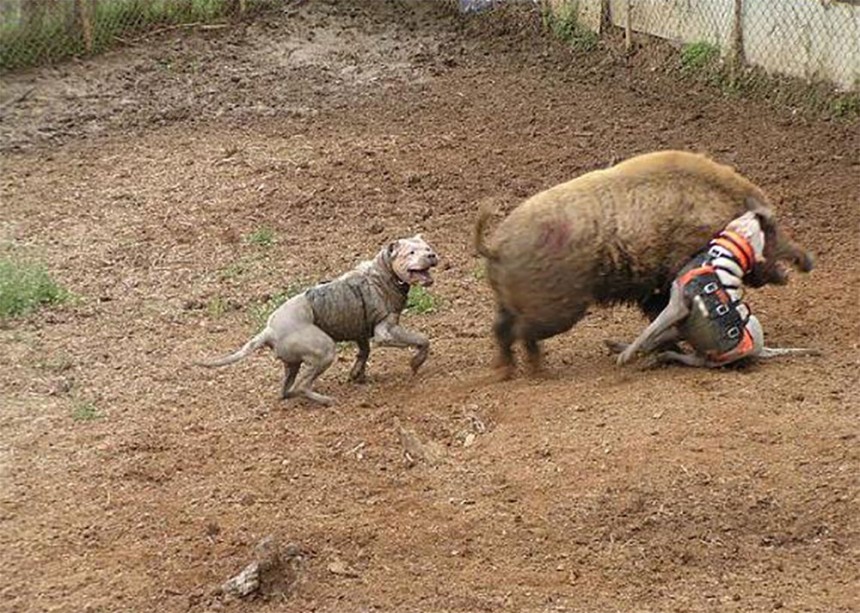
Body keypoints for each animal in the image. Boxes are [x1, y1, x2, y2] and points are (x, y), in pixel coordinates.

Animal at [604, 213, 820, 368]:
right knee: (662, 344)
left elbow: (648, 332)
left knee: (677, 353)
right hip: (685, 331)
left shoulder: (677, 307)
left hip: (702, 353)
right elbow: (650, 335)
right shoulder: (679, 316)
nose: (758, 214)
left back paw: (655, 357)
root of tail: (761, 350)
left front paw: (626, 355)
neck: (719, 259)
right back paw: (637, 351)